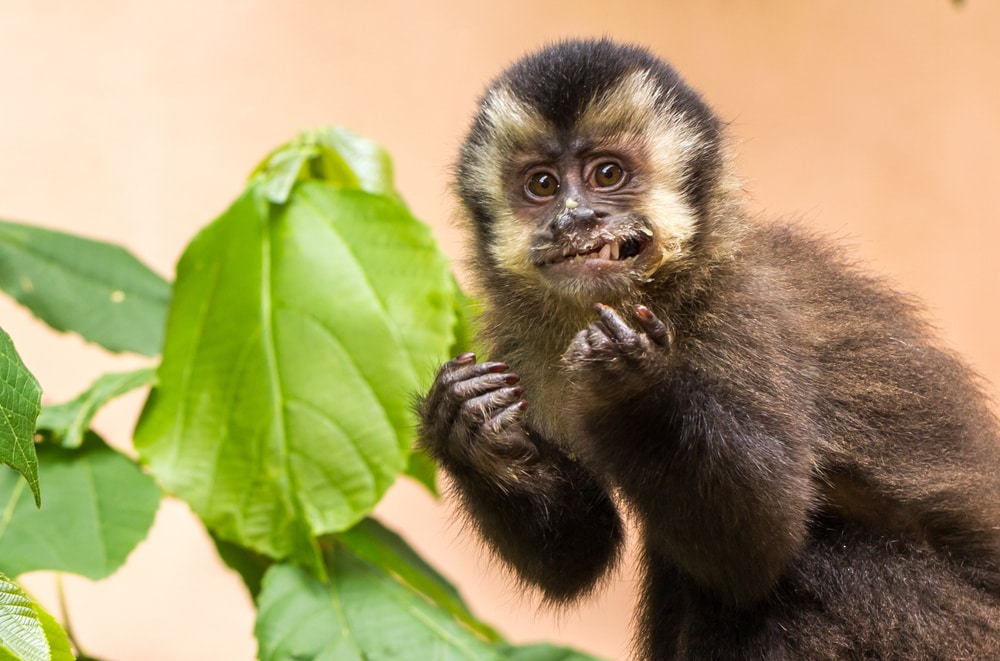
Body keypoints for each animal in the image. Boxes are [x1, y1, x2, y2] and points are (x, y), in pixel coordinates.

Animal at [417, 39, 1000, 659]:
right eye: (543, 185)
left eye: (607, 174)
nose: (575, 219)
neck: (665, 293)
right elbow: (580, 556)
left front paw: (628, 382)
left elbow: (758, 544)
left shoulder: (746, 316)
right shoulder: (518, 342)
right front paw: (469, 425)